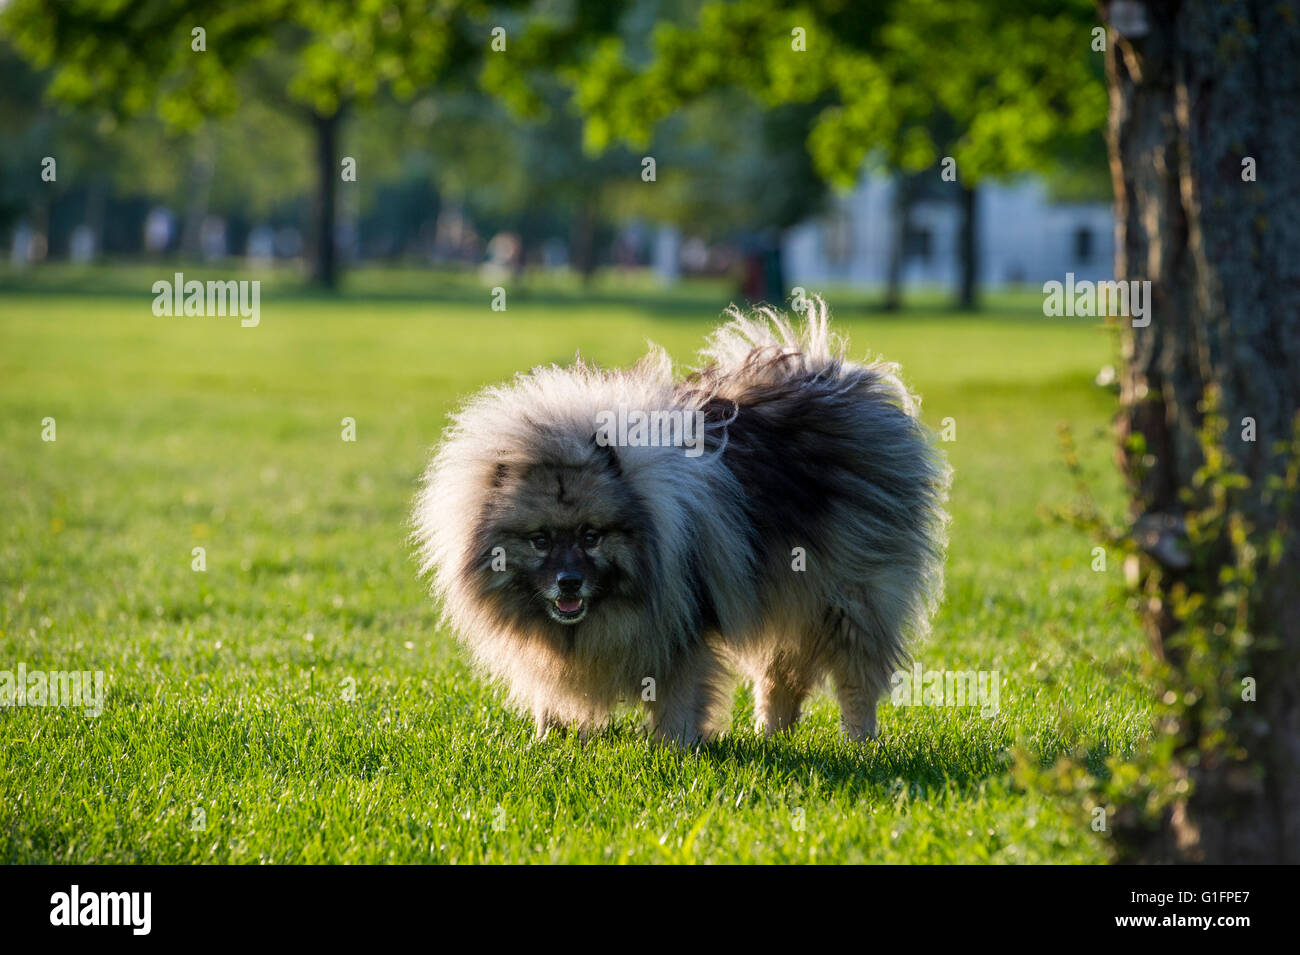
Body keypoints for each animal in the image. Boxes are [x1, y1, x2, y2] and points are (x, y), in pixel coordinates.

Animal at [410, 298, 951, 748]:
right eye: (540, 540)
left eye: (591, 536)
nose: (569, 582)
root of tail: (834, 378)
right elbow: (556, 696)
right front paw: (550, 742)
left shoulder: (682, 627)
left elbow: (678, 699)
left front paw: (674, 751)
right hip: (787, 590)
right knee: (780, 676)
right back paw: (770, 736)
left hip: (847, 597)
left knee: (854, 680)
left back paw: (860, 743)